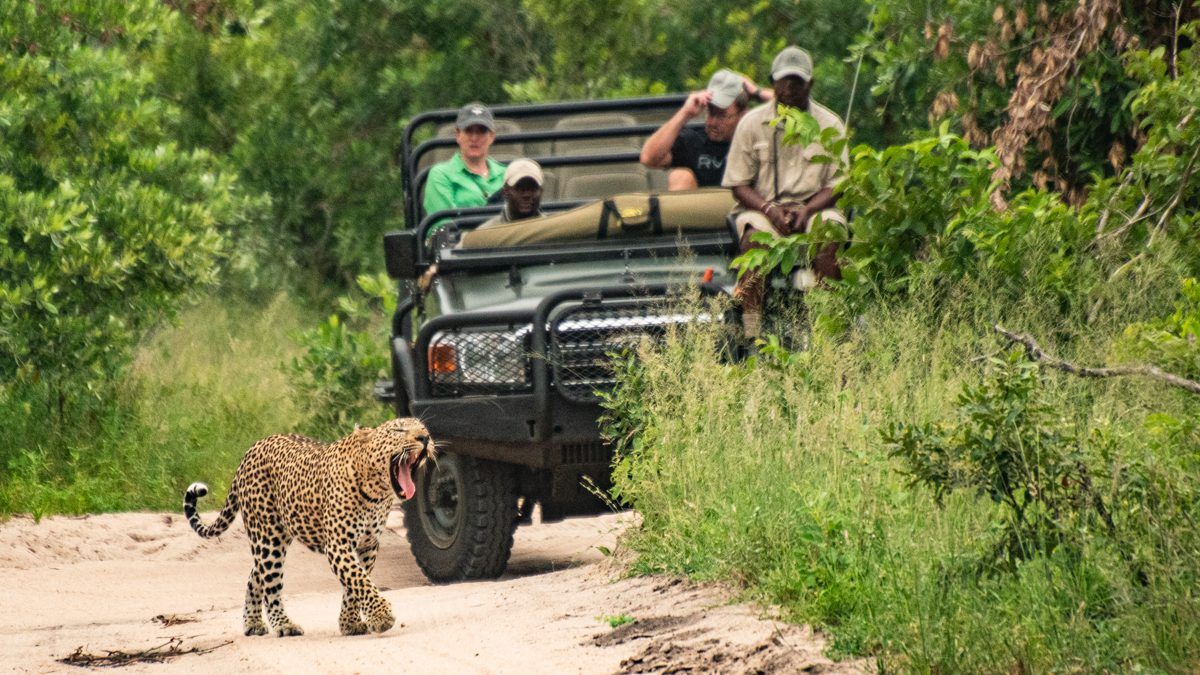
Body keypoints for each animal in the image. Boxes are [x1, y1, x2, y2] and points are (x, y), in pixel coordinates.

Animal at [183, 417, 435, 637]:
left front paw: (350, 623)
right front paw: (381, 617)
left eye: (423, 427)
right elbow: (358, 579)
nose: (425, 437)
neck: (377, 491)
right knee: (270, 585)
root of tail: (251, 449)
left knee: (255, 575)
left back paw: (252, 623)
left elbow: (354, 584)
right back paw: (284, 625)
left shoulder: (368, 545)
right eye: (399, 430)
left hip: (271, 537)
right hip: (268, 537)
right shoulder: (338, 545)